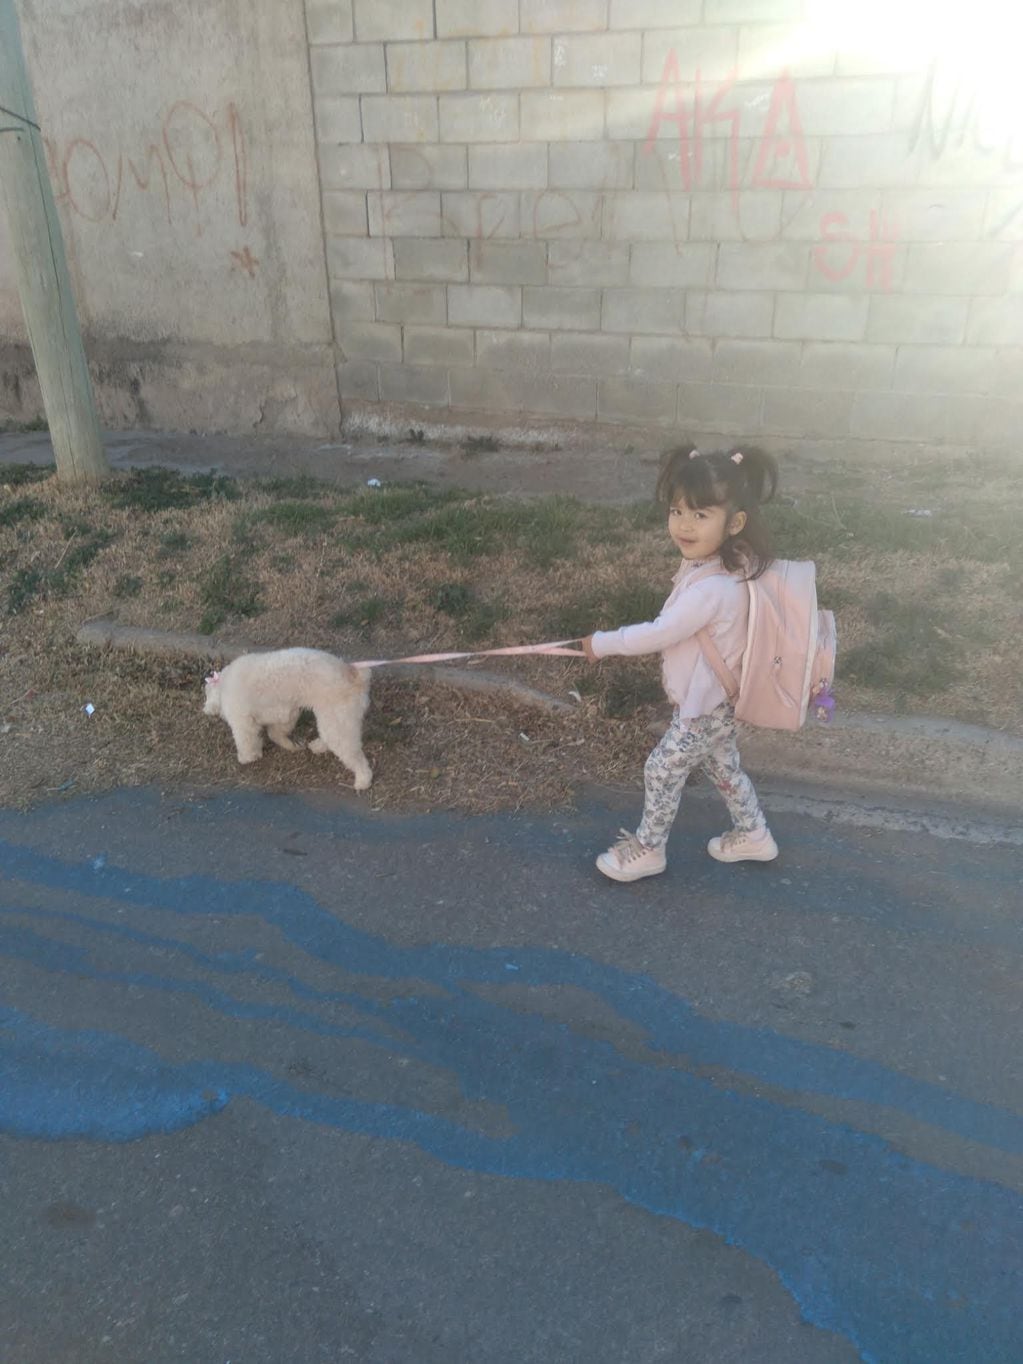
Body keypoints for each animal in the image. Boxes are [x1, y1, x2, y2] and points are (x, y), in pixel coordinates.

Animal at [201, 646, 373, 791]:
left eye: (206, 695)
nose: (205, 710)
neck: (223, 685)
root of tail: (354, 675)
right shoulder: (286, 714)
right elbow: (274, 734)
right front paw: (291, 746)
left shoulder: (243, 723)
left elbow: (246, 741)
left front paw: (247, 758)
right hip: (333, 720)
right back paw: (318, 746)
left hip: (337, 719)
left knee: (354, 755)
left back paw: (363, 780)